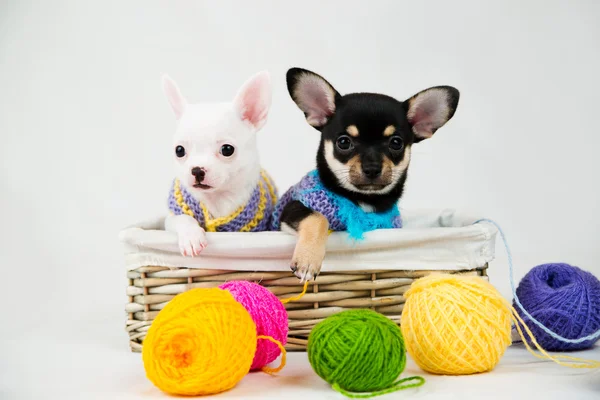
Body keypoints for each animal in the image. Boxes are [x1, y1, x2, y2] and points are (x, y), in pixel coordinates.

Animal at [163, 71, 278, 256]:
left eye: (227, 149)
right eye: (179, 150)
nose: (197, 170)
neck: (217, 198)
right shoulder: (170, 219)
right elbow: (182, 218)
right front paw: (191, 237)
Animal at [272, 67, 460, 282]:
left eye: (396, 143)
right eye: (343, 142)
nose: (372, 168)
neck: (364, 199)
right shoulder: (291, 210)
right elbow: (318, 218)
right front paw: (308, 260)